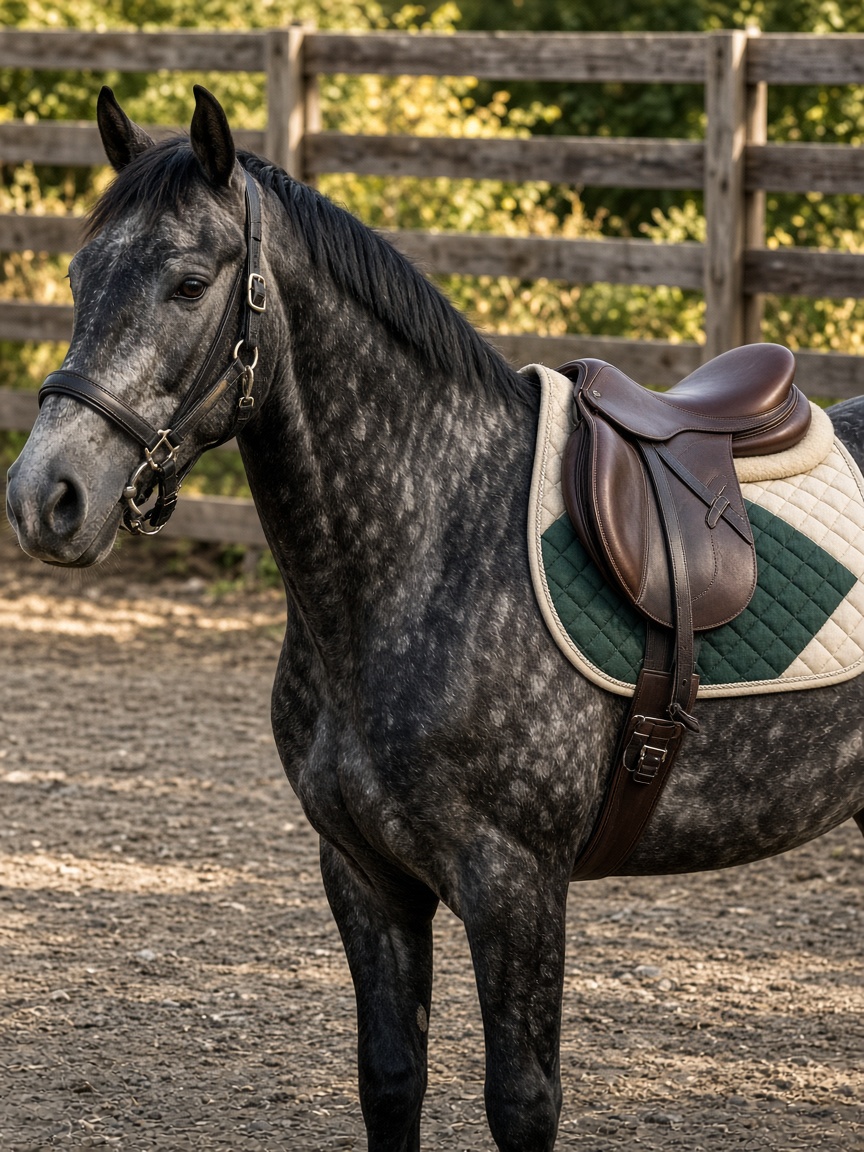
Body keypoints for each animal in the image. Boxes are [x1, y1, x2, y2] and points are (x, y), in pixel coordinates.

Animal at [6, 86, 864, 1152]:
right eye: (81, 275)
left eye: (189, 283)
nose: (46, 497)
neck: (431, 543)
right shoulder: (365, 876)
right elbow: (390, 1078)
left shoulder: (515, 888)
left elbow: (521, 1103)